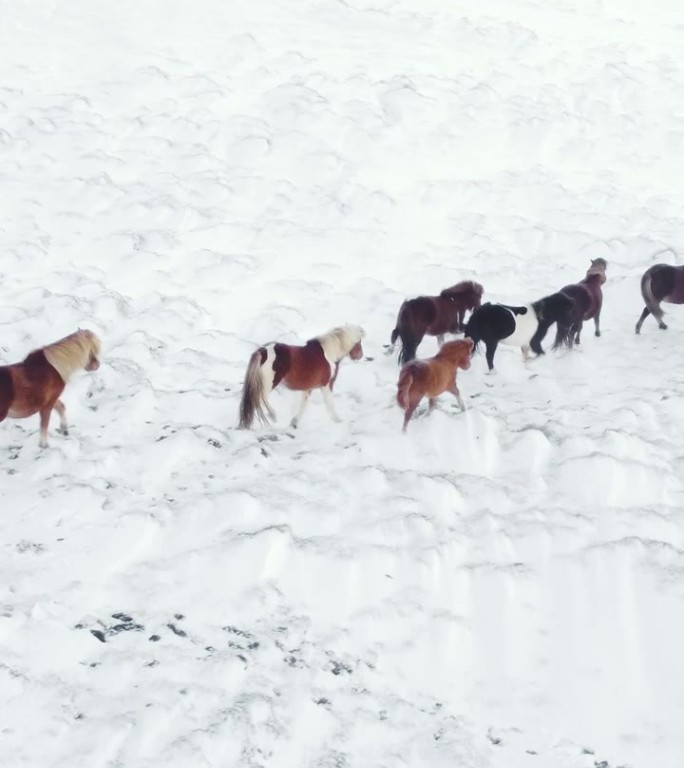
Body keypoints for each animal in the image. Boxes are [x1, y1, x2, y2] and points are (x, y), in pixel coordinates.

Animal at [236, 326, 364, 432]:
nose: (361, 356)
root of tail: (262, 352)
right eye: (359, 343)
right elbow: (330, 404)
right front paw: (338, 421)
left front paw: (294, 422)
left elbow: (303, 405)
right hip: (268, 384)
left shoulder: (308, 388)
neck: (329, 353)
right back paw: (273, 416)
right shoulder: (327, 385)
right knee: (259, 399)